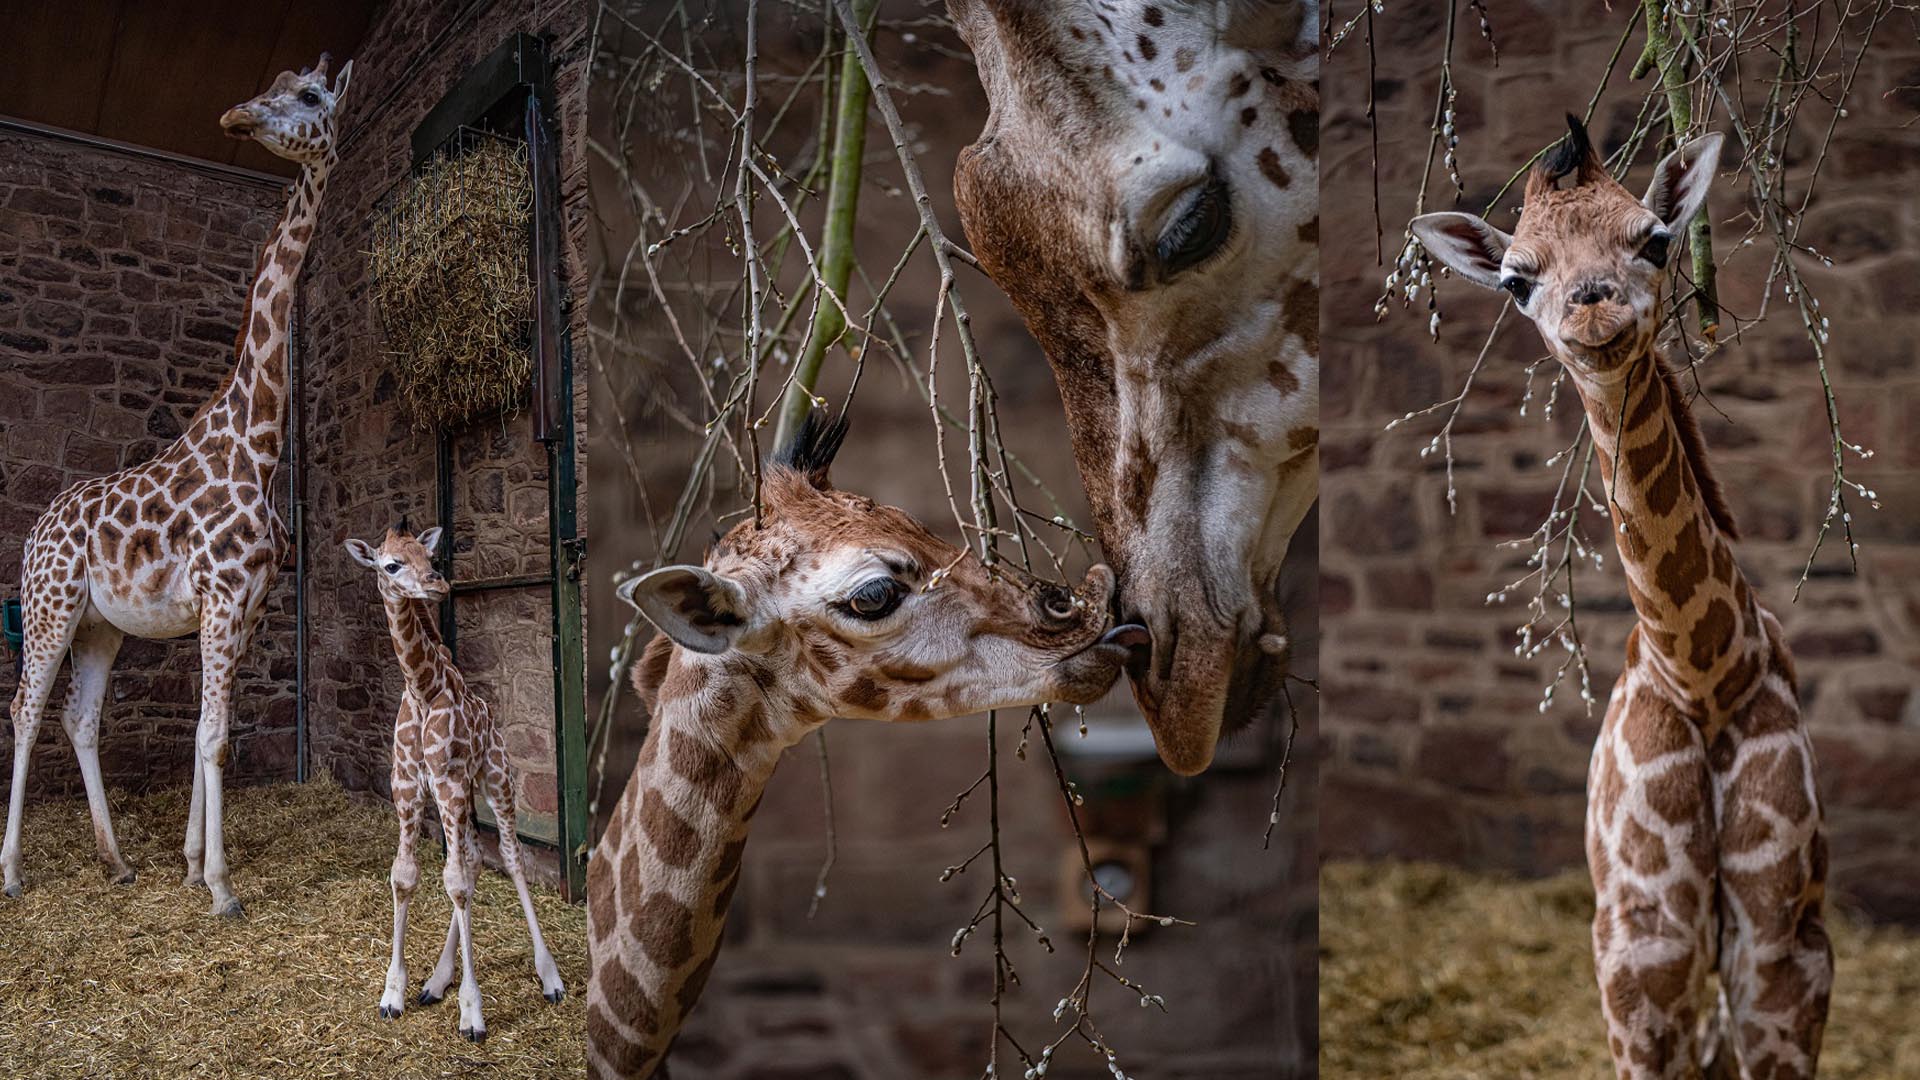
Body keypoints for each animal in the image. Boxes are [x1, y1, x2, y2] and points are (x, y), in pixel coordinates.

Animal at [0, 58, 349, 910]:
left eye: (309, 95)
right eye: (272, 86)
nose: (236, 116)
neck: (258, 444)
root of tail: (35, 531)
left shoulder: (244, 609)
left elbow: (203, 735)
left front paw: (191, 864)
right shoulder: (221, 600)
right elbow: (217, 738)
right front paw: (221, 886)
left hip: (100, 625)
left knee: (79, 718)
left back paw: (117, 861)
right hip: (50, 605)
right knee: (25, 709)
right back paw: (14, 872)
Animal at [349, 526, 564, 1037]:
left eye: (431, 556)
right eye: (391, 564)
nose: (437, 584)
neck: (422, 689)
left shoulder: (447, 782)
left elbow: (456, 882)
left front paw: (472, 1011)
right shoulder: (407, 785)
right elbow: (407, 876)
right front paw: (394, 993)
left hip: (496, 778)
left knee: (508, 856)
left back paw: (550, 977)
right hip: (464, 796)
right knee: (472, 858)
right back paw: (436, 979)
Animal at [1413, 113, 1827, 1068]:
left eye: (1655, 239)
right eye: (1516, 280)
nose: (1592, 306)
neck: (1702, 673)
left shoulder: (1786, 947)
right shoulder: (1640, 946)